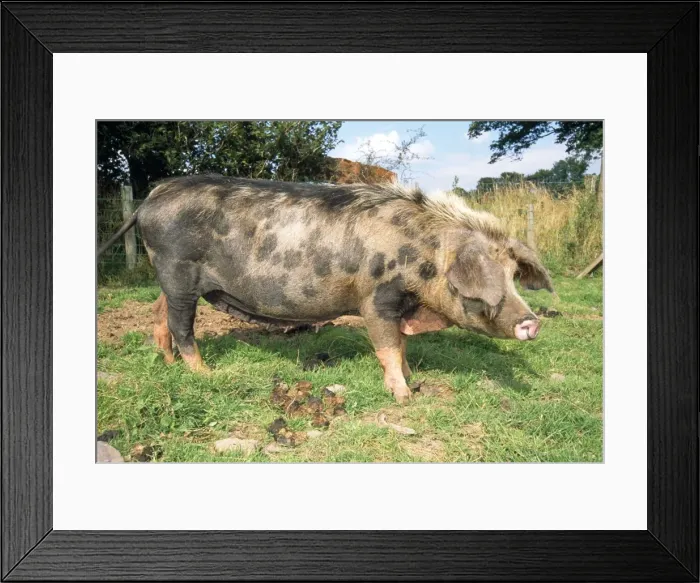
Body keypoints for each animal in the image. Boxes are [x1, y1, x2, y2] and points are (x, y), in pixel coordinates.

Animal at [98, 175, 555, 403]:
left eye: (513, 276)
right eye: (485, 286)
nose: (532, 322)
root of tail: (149, 199)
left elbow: (402, 345)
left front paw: (415, 378)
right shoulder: (376, 298)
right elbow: (387, 345)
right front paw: (404, 396)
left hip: (169, 276)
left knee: (158, 312)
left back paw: (169, 364)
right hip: (177, 269)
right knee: (181, 324)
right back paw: (204, 373)